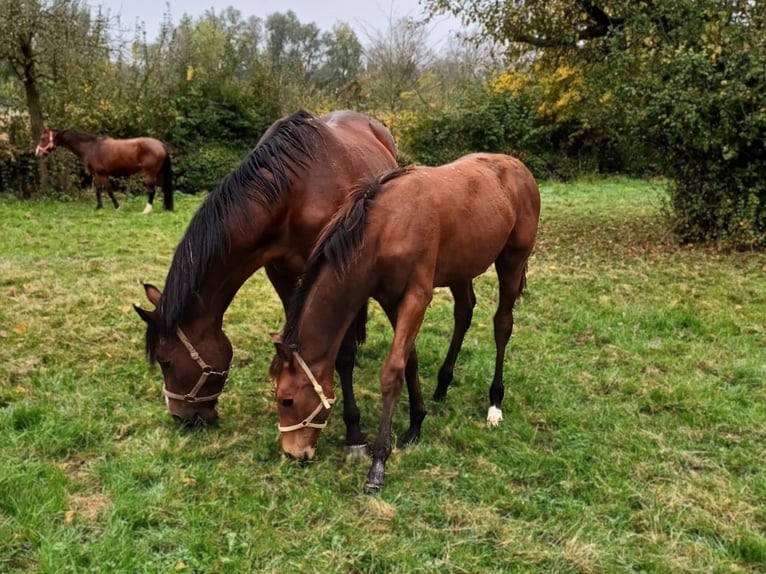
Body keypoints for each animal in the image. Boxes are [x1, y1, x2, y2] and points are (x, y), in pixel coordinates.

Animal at [35, 128, 172, 214]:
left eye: (42, 138)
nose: (37, 153)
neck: (90, 146)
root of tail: (160, 144)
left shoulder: (102, 174)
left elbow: (109, 190)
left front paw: (117, 207)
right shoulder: (96, 175)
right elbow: (98, 190)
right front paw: (99, 207)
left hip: (150, 174)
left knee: (152, 191)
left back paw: (146, 210)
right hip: (159, 173)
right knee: (164, 188)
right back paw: (166, 208)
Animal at [131, 109, 402, 446]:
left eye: (165, 361)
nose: (181, 417)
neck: (297, 192)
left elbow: (343, 356)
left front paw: (353, 432)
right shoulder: (281, 273)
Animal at [272, 154, 544, 496]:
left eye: (287, 400)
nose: (292, 453)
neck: (386, 227)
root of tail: (518, 166)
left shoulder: (417, 297)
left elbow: (392, 371)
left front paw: (378, 464)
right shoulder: (391, 299)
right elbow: (409, 358)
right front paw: (416, 422)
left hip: (512, 262)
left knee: (502, 325)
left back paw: (495, 402)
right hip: (461, 269)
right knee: (464, 313)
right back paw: (442, 385)